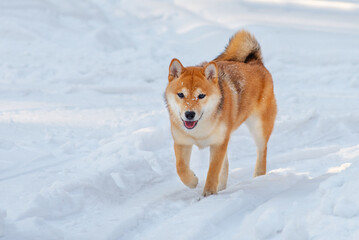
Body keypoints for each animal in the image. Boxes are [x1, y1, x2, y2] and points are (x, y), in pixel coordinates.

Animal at [165, 29, 278, 197]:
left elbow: (213, 171)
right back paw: (222, 187)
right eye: (181, 94)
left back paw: (258, 177)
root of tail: (256, 62)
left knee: (261, 151)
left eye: (201, 96)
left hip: (259, 127)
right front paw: (193, 181)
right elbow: (181, 168)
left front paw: (208, 194)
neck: (200, 130)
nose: (189, 114)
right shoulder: (182, 142)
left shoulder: (218, 143)